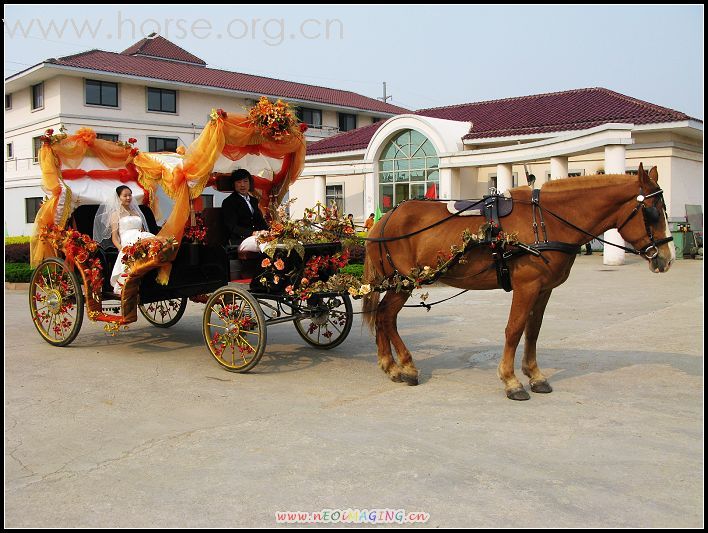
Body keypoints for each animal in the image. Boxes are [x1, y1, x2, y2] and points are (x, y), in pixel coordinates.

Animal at [362, 162, 676, 400]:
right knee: (387, 317)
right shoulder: (527, 286)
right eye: (651, 212)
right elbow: (514, 329)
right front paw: (511, 380)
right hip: (404, 281)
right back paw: (406, 366)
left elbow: (532, 331)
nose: (667, 258)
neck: (546, 220)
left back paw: (389, 364)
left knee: (382, 317)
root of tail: (385, 219)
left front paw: (535, 375)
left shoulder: (544, 289)